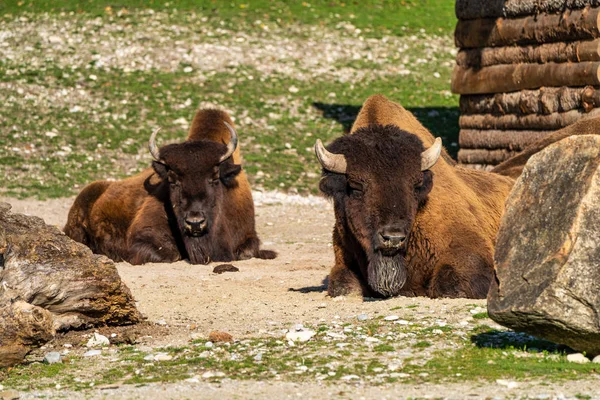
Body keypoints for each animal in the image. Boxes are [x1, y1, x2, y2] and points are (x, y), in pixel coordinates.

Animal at [63, 109, 276, 266]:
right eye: (173, 181)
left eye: (214, 178)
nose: (195, 222)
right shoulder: (141, 238)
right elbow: (171, 254)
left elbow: (247, 252)